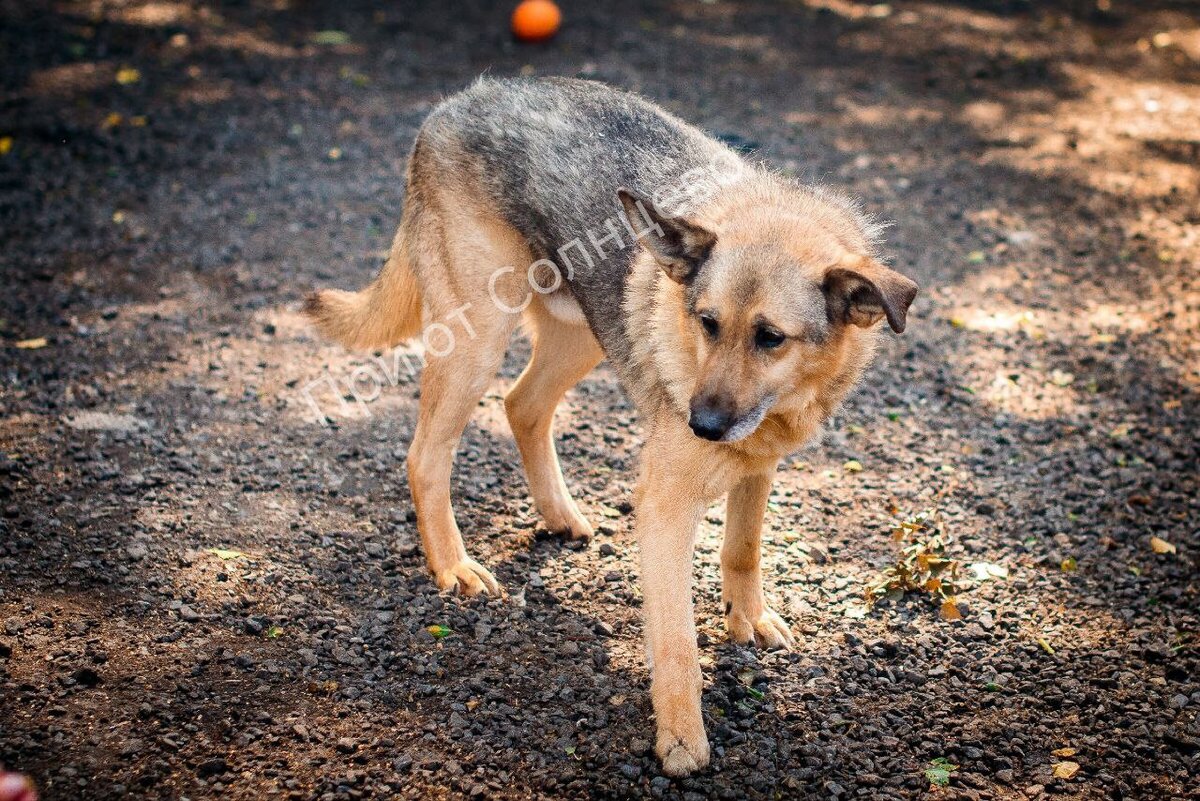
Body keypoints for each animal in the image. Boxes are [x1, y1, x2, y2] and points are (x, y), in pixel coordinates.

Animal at [302, 76, 916, 777]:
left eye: (771, 338)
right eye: (706, 323)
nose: (701, 424)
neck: (786, 400)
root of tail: (455, 103)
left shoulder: (758, 465)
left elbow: (743, 550)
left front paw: (747, 619)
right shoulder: (665, 507)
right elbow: (676, 644)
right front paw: (681, 741)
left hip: (579, 336)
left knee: (522, 405)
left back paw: (558, 514)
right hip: (478, 337)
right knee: (426, 453)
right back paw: (453, 565)